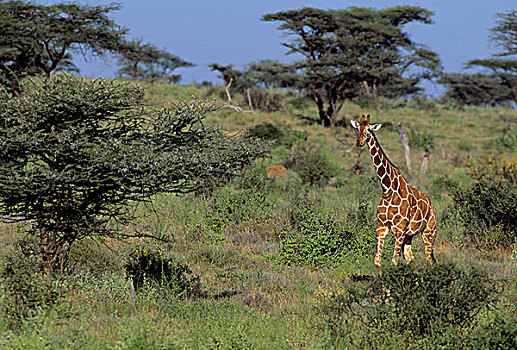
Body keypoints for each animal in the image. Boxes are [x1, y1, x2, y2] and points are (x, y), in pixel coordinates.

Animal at [348, 115, 438, 268]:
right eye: (357, 128)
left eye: (369, 130)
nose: (359, 142)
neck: (388, 190)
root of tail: (433, 207)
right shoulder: (381, 228)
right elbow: (377, 261)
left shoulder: (399, 229)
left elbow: (394, 261)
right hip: (409, 235)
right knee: (410, 257)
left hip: (429, 232)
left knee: (429, 259)